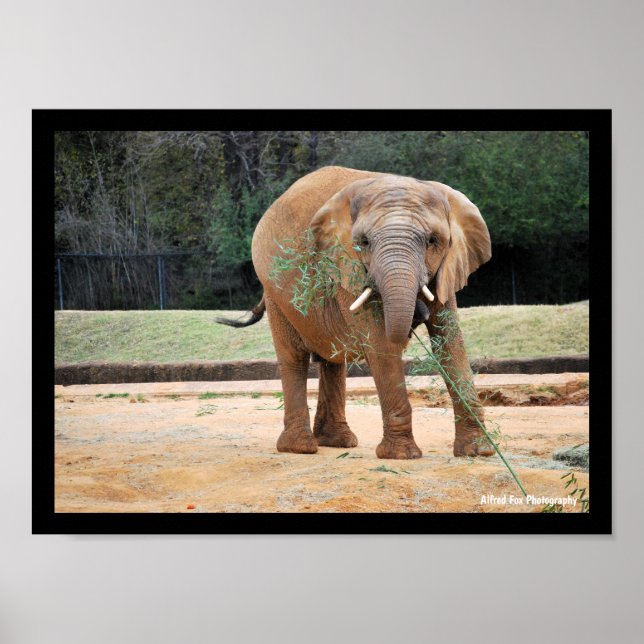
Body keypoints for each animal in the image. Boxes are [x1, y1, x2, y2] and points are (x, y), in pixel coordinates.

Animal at [220, 166, 493, 460]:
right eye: (363, 243)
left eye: (433, 241)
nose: (417, 315)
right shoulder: (346, 268)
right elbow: (381, 345)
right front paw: (401, 456)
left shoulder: (447, 269)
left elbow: (450, 342)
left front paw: (479, 451)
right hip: (275, 292)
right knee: (294, 357)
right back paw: (300, 448)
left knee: (332, 359)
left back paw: (337, 442)